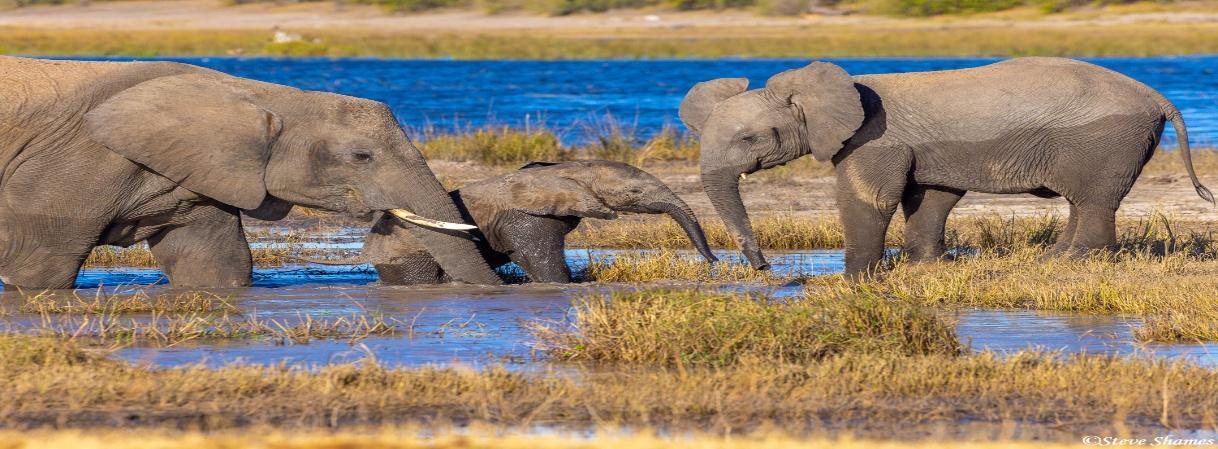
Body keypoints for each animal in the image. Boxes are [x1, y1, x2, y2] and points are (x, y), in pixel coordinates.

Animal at [0, 56, 501, 289]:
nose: (491, 290)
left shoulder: (198, 176)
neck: (259, 95)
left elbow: (213, 263)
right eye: (362, 157)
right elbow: (40, 264)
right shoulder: (76, 165)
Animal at [316, 160, 719, 284]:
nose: (713, 262)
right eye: (635, 192)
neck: (571, 168)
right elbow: (540, 260)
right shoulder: (525, 218)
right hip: (411, 255)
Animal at [679, 57, 1211, 278]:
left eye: (749, 138)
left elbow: (870, 198)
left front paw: (856, 280)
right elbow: (932, 196)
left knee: (1094, 199)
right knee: (1084, 200)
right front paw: (923, 267)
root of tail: (1158, 97)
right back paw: (1053, 260)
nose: (766, 270)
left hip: (1104, 139)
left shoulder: (875, 138)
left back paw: (1076, 263)